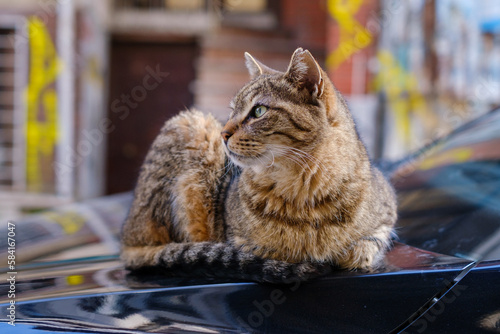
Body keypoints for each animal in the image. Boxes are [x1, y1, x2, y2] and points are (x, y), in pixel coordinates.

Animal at [119, 47, 396, 282]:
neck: (303, 187)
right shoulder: (238, 240)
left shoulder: (386, 215)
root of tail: (128, 237)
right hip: (193, 125)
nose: (224, 134)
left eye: (259, 111)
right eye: (232, 110)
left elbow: (365, 247)